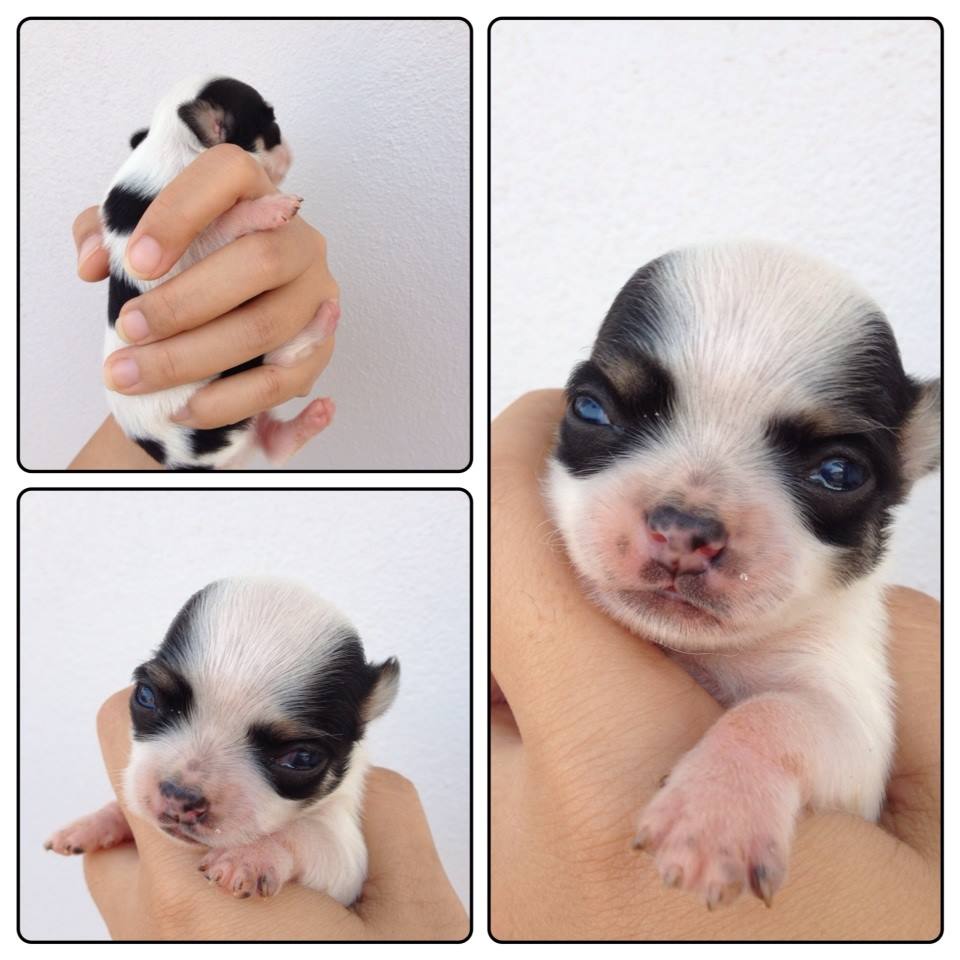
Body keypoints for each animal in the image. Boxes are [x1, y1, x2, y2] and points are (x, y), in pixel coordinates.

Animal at [45, 577, 399, 904]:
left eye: (302, 759)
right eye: (146, 696)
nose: (179, 797)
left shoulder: (347, 861)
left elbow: (307, 831)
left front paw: (250, 855)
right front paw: (96, 821)